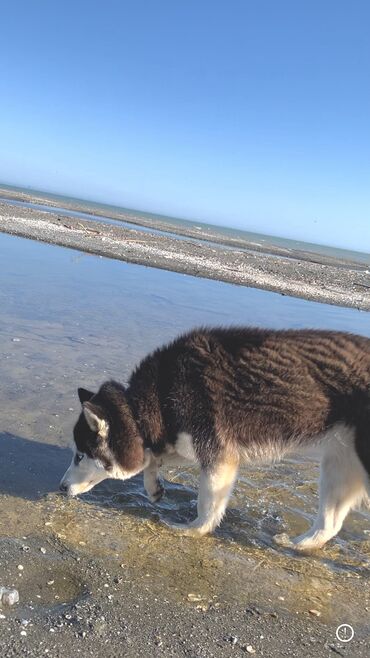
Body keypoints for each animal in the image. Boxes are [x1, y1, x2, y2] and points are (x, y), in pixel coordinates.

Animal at [60, 326, 370, 544]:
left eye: (80, 456)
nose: (61, 487)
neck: (154, 400)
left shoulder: (218, 456)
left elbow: (206, 504)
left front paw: (193, 530)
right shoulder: (183, 441)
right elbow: (152, 459)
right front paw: (153, 487)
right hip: (339, 465)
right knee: (330, 525)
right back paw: (297, 545)